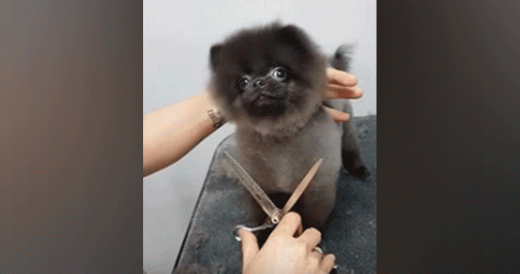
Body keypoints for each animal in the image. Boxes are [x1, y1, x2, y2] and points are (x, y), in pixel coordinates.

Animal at [209, 23, 368, 227]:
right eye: (243, 82)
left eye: (279, 73)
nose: (257, 82)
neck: (279, 136)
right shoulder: (261, 186)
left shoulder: (317, 190)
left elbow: (309, 222)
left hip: (347, 126)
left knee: (351, 148)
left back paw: (358, 169)